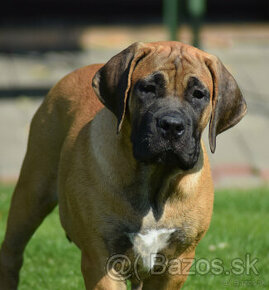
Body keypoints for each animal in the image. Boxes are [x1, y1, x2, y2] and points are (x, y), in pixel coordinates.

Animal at [0, 41, 245, 290]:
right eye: (148, 88)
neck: (154, 181)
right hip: (32, 192)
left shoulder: (176, 263)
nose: (172, 125)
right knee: (12, 252)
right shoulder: (102, 260)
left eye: (198, 95)